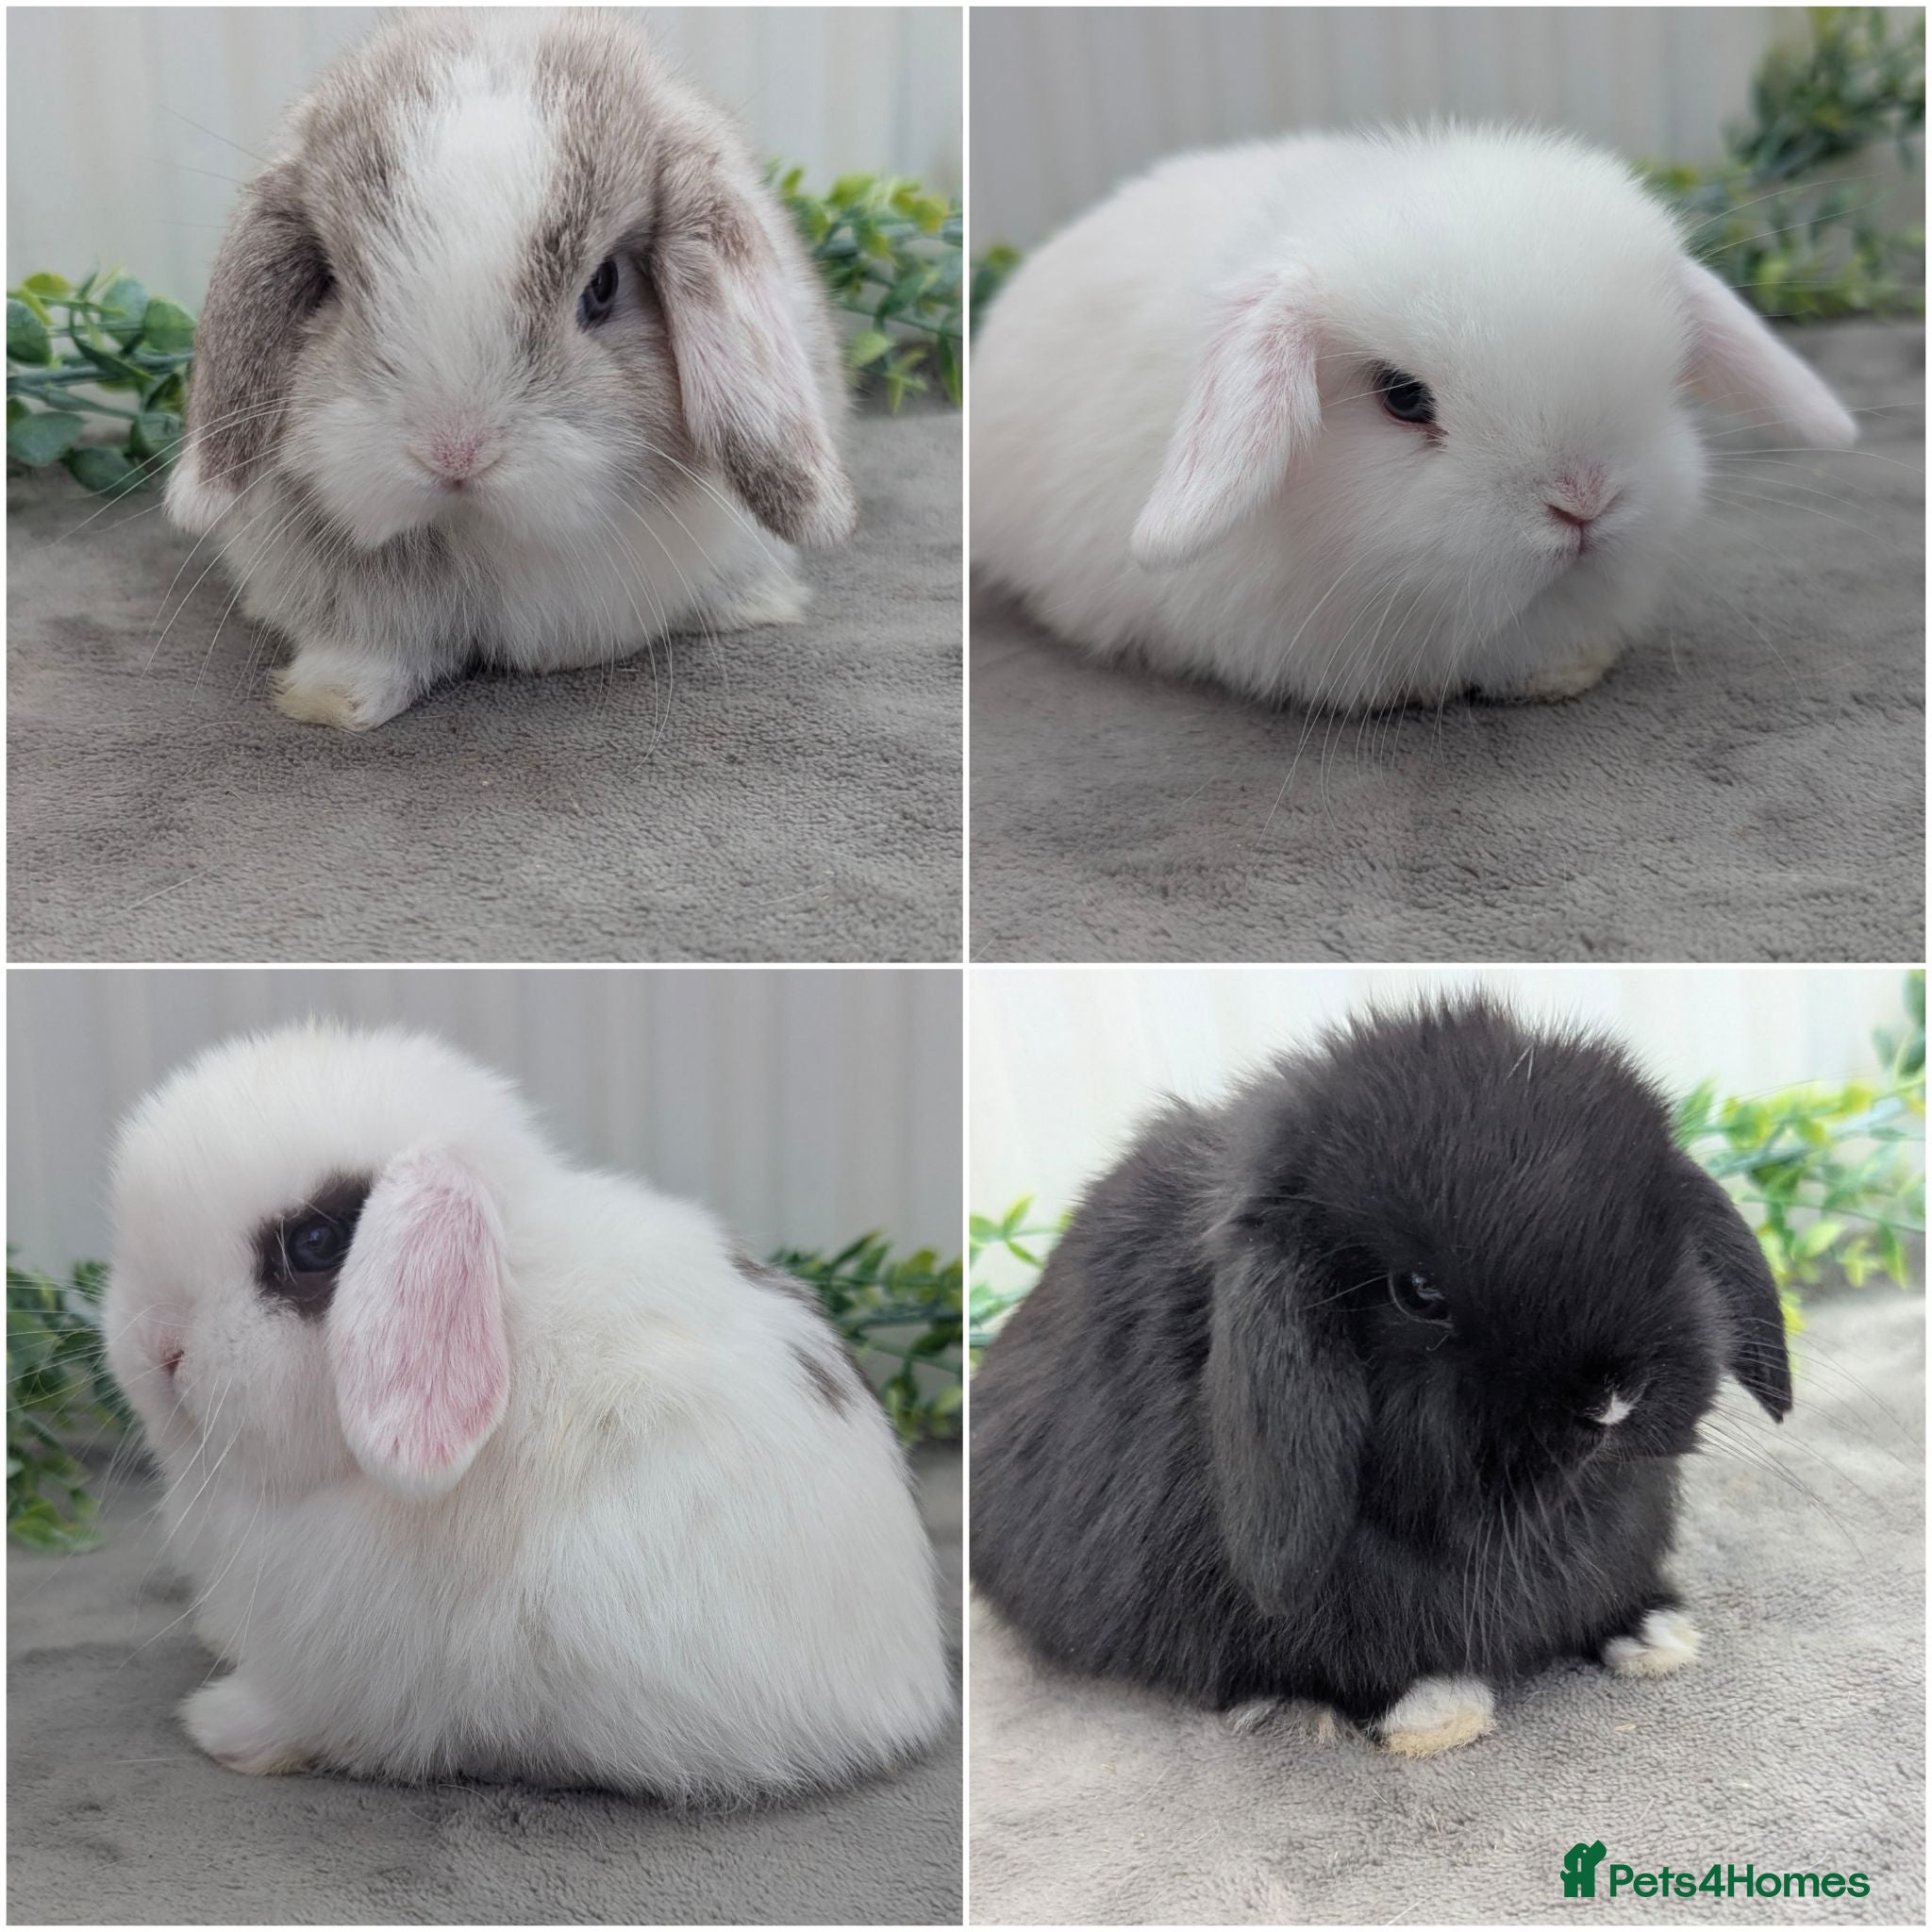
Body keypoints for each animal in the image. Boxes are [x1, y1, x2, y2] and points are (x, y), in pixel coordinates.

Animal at [104, 1021, 951, 1800]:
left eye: (313, 1243)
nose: (158, 1349)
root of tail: (903, 1694)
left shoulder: (360, 1660)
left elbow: (332, 1718)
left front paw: (224, 1727)